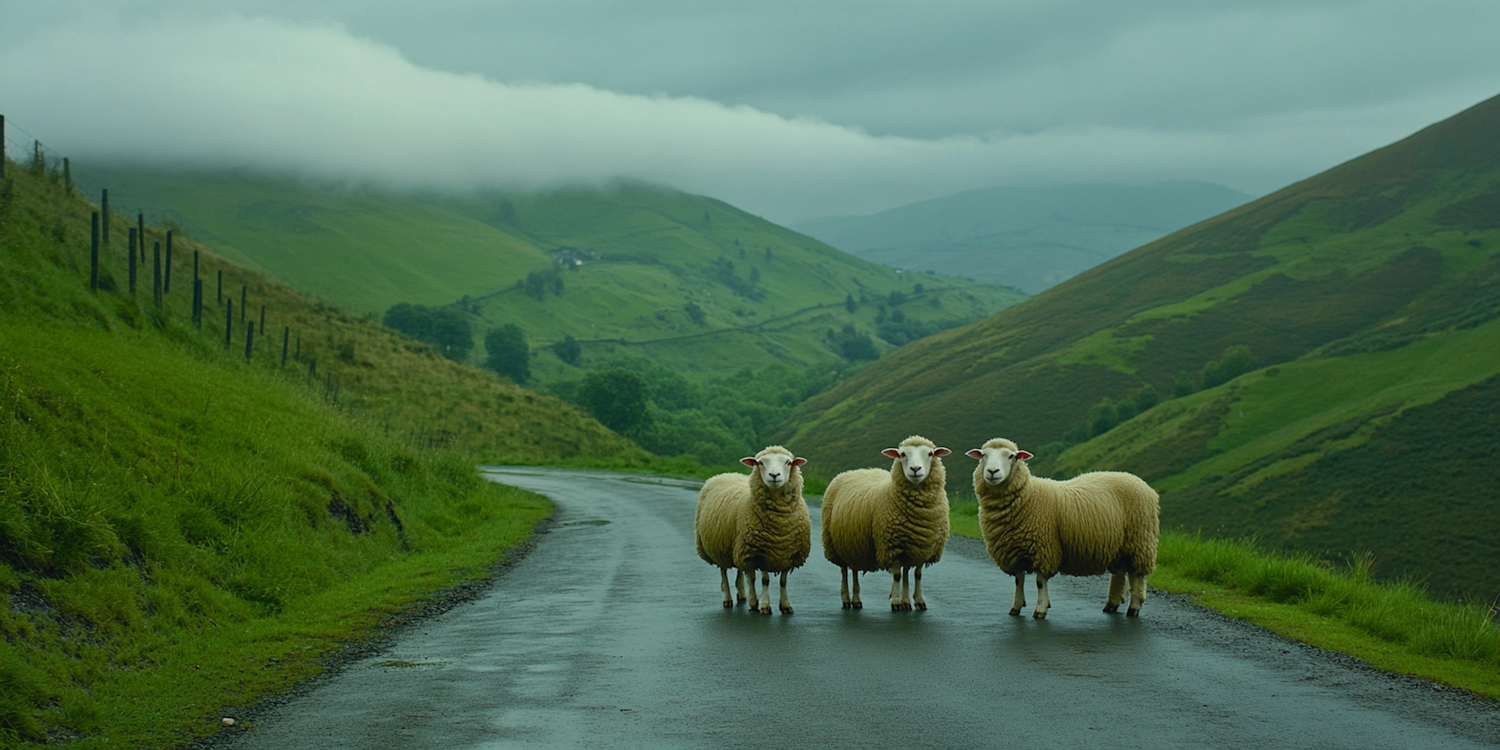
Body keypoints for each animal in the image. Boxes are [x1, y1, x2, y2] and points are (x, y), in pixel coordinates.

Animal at [690, 444, 810, 615]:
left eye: (788, 462)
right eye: (760, 463)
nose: (774, 475)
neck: (779, 525)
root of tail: (727, 474)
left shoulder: (790, 553)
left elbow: (783, 581)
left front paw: (785, 605)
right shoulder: (762, 550)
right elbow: (764, 580)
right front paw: (764, 605)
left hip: (738, 546)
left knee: (743, 572)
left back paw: (743, 595)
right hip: (721, 547)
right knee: (725, 573)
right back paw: (730, 599)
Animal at [822, 438, 948, 612]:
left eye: (930, 453)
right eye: (902, 454)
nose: (915, 469)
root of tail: (855, 471)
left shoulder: (922, 546)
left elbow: (916, 574)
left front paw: (915, 601)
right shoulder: (891, 545)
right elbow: (897, 575)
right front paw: (896, 602)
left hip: (854, 545)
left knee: (854, 570)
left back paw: (856, 600)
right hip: (835, 545)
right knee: (844, 571)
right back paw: (847, 599)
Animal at [966, 438, 1164, 618]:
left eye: (1011, 456)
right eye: (983, 455)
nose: (992, 471)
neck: (1028, 496)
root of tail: (1142, 483)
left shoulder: (1044, 548)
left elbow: (1040, 581)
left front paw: (1040, 609)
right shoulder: (1015, 551)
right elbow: (1018, 580)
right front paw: (1016, 607)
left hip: (1139, 541)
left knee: (1136, 575)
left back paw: (1134, 607)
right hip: (1120, 545)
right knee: (1121, 572)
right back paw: (1112, 604)